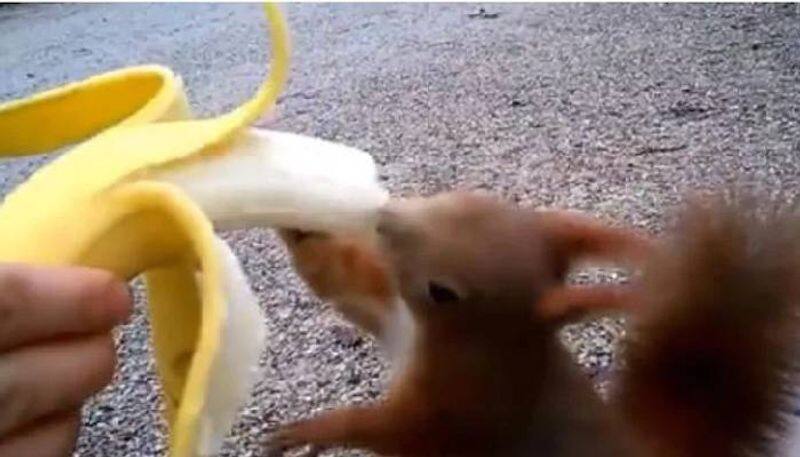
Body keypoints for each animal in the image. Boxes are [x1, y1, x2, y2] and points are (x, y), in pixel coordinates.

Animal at [270, 191, 800, 454]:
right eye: (462, 194)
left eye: (443, 293)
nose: (384, 217)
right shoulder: (392, 317)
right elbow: (343, 283)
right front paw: (296, 219)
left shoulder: (465, 414)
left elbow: (398, 432)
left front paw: (306, 431)